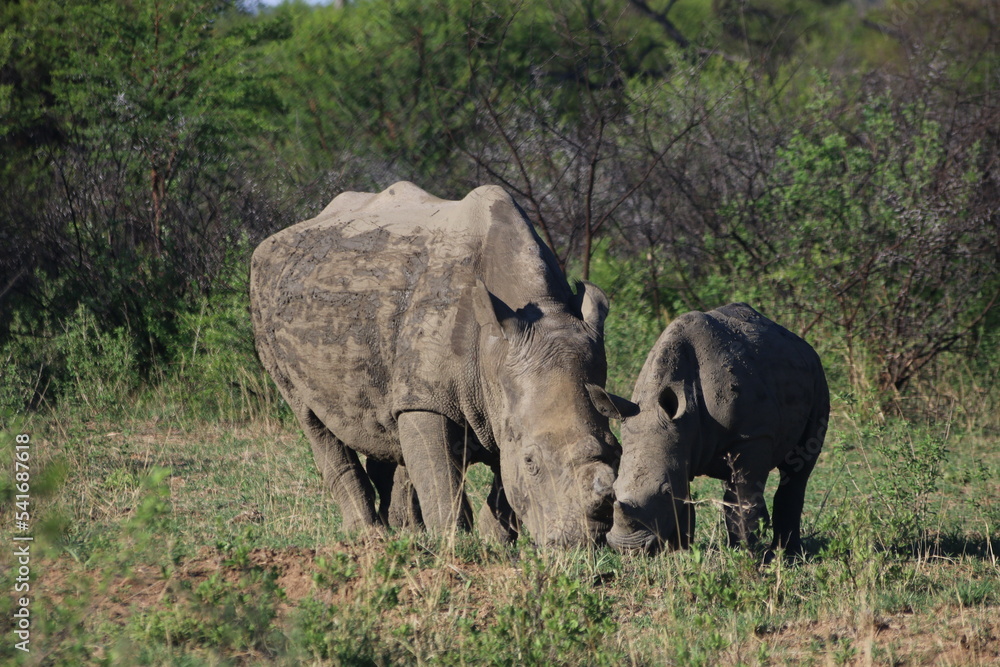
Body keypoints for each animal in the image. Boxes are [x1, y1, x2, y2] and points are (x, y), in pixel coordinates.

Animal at [249, 182, 637, 547]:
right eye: (532, 462)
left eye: (619, 452)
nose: (585, 540)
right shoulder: (429, 399)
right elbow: (441, 477)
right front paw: (456, 542)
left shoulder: (503, 397)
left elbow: (501, 480)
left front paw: (495, 540)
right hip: (264, 301)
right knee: (311, 418)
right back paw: (370, 536)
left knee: (385, 423)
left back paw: (405, 532)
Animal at [607, 303, 829, 556]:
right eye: (613, 490)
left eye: (665, 491)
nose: (628, 548)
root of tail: (801, 343)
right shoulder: (679, 441)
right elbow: (685, 500)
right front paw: (680, 552)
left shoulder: (752, 435)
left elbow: (742, 497)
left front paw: (743, 554)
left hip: (818, 374)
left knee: (798, 468)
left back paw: (786, 554)